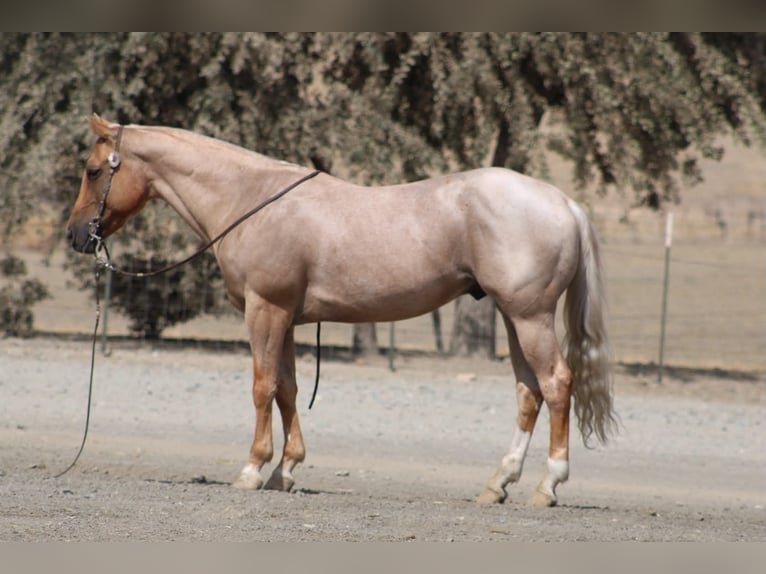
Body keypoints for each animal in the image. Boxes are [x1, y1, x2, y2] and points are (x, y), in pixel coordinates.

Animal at [66, 114, 616, 506]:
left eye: (93, 171)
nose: (75, 235)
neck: (251, 199)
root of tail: (564, 203)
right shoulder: (286, 318)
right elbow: (287, 389)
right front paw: (286, 471)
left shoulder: (265, 311)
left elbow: (263, 387)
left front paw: (252, 470)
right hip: (512, 317)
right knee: (528, 391)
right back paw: (498, 483)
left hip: (529, 317)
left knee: (556, 384)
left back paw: (548, 485)